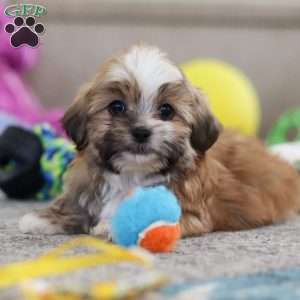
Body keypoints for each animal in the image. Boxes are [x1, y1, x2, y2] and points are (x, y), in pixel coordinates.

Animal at [18, 44, 300, 239]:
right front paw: (43, 218)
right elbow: (79, 205)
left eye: (166, 111)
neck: (132, 173)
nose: (141, 131)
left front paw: (114, 224)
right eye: (116, 107)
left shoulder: (192, 212)